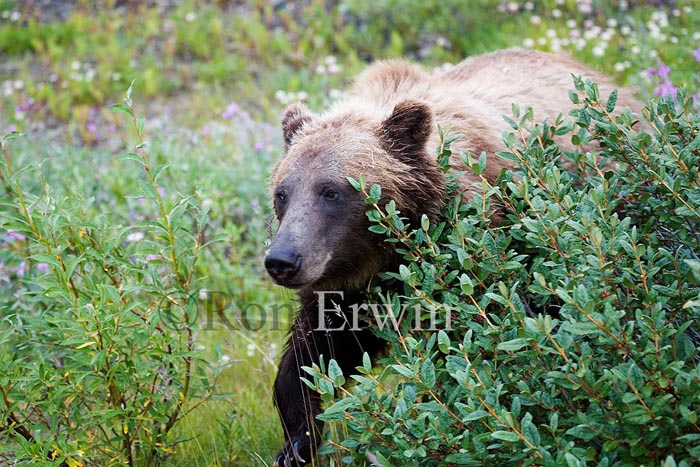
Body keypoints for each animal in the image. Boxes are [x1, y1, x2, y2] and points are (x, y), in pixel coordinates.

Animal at [264, 49, 640, 466]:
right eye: (283, 192)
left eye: (331, 191)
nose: (282, 259)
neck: (383, 254)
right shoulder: (343, 288)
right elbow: (313, 354)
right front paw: (295, 444)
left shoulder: (468, 249)